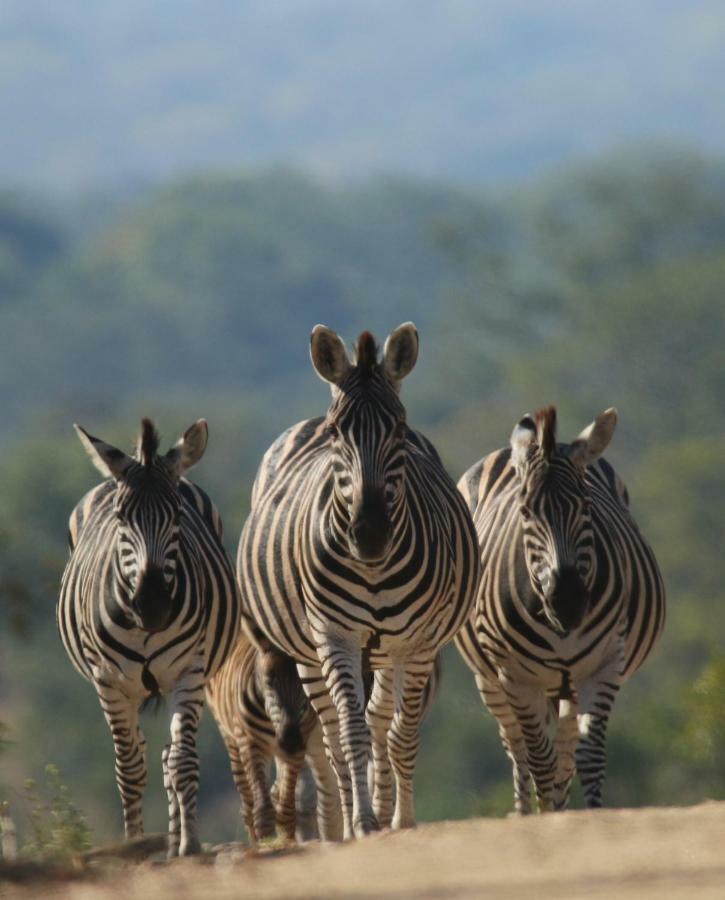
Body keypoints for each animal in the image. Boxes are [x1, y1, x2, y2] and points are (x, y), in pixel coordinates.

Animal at [58, 418, 240, 856]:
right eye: (121, 518)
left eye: (177, 515)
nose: (153, 605)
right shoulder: (109, 681)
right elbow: (128, 768)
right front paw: (134, 843)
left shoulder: (189, 672)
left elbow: (183, 763)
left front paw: (189, 846)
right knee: (140, 753)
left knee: (170, 755)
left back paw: (176, 843)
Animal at [204, 624, 342, 844]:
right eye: (269, 682)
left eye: (304, 686)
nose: (290, 740)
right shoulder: (250, 743)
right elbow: (263, 807)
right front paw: (266, 839)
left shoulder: (298, 747)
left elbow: (286, 806)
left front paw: (286, 838)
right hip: (229, 735)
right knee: (247, 802)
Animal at [238, 324, 478, 836]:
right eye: (336, 433)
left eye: (400, 430)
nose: (369, 535)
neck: (374, 569)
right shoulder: (335, 636)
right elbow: (350, 734)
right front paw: (363, 822)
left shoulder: (418, 643)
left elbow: (400, 732)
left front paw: (400, 817)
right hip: (307, 652)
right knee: (332, 736)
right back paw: (349, 822)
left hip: (388, 651)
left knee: (382, 720)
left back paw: (386, 808)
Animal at [456, 404, 664, 812]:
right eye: (524, 511)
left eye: (586, 507)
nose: (566, 601)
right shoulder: (516, 678)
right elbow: (539, 760)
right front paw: (546, 815)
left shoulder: (604, 666)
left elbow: (588, 756)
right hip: (490, 680)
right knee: (518, 750)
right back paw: (525, 811)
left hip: (567, 685)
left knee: (565, 755)